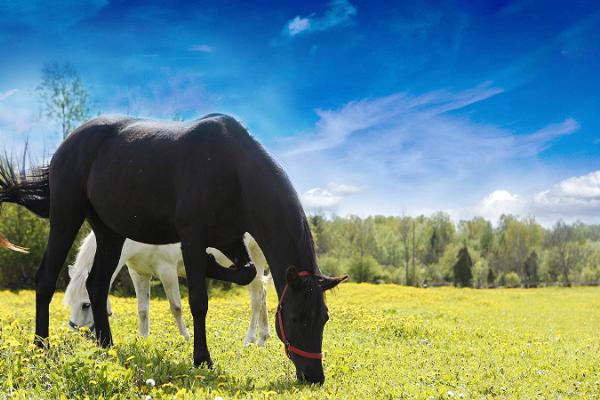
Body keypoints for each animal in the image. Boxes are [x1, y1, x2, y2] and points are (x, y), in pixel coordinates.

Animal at [63, 233, 270, 346]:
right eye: (70, 303)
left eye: (86, 304)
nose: (77, 335)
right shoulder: (139, 274)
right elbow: (143, 311)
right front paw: (144, 340)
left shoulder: (167, 271)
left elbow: (176, 308)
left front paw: (186, 338)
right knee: (262, 294)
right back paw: (262, 338)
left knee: (256, 299)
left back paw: (249, 339)